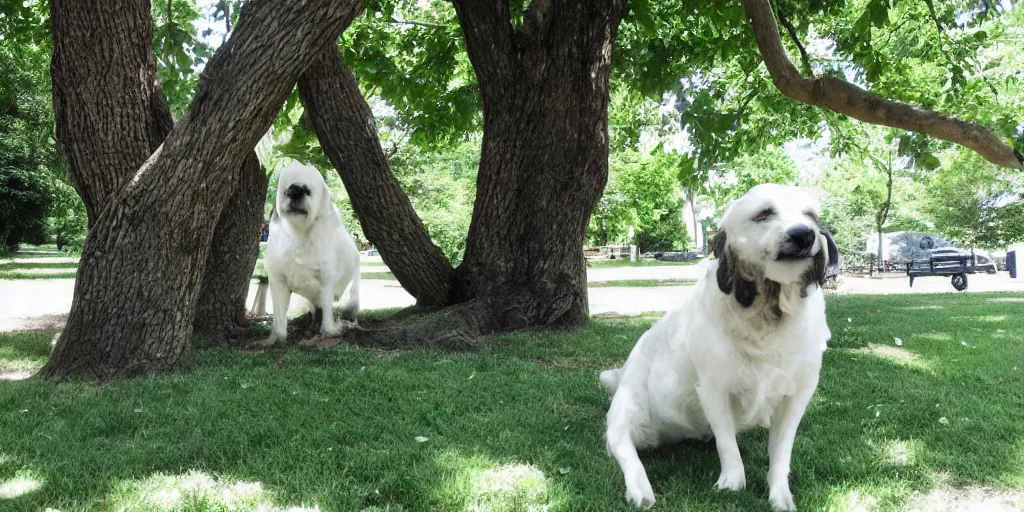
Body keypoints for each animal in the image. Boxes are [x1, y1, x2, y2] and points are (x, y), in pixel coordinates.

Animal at [260, 162, 360, 348]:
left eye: (313, 182)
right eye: (286, 180)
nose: (296, 190)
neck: (299, 235)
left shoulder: (327, 281)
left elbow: (328, 322)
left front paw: (331, 333)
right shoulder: (278, 281)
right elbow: (279, 321)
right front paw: (275, 340)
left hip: (352, 292)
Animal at [602, 185, 835, 512]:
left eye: (810, 216)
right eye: (764, 213)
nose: (804, 235)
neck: (767, 312)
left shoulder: (799, 392)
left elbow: (781, 451)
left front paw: (780, 495)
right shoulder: (713, 386)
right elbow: (727, 444)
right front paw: (732, 483)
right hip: (626, 411)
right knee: (624, 448)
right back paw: (640, 489)